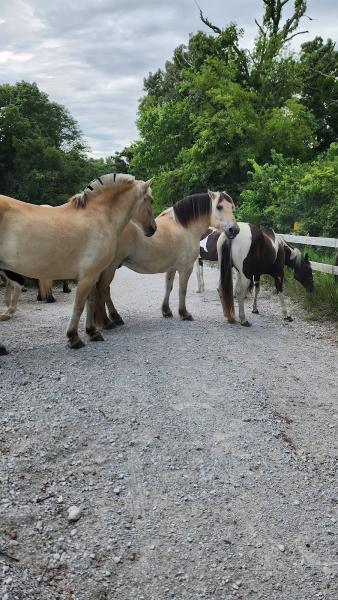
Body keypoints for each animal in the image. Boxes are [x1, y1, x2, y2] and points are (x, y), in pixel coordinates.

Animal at [0, 173, 156, 346]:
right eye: (150, 200)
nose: (153, 229)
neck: (99, 216)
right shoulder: (89, 275)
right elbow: (80, 305)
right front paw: (74, 337)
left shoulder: (93, 275)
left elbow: (90, 301)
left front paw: (92, 331)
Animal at [92, 190, 240, 330]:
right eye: (219, 207)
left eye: (232, 207)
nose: (234, 230)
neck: (185, 227)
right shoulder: (186, 268)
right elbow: (182, 290)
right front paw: (184, 313)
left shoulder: (172, 268)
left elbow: (168, 287)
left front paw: (166, 311)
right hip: (110, 268)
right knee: (102, 290)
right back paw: (107, 321)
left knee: (105, 291)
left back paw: (115, 317)